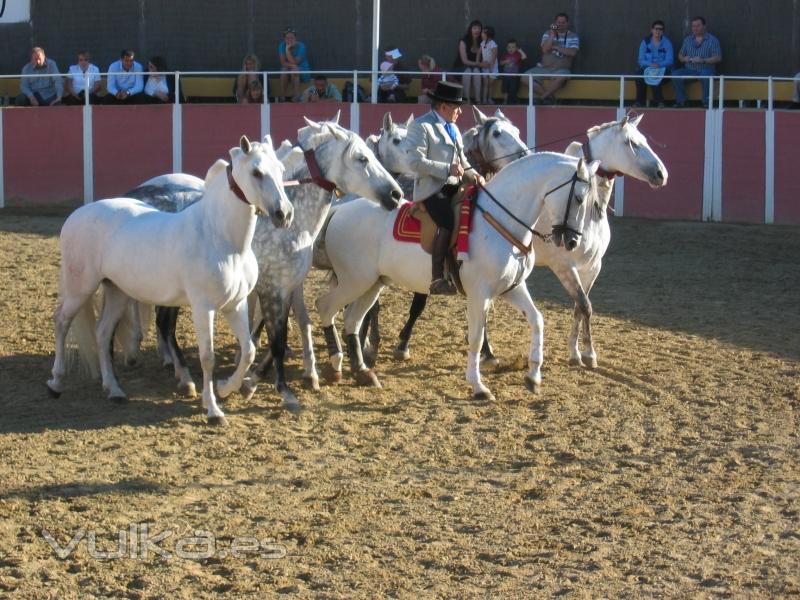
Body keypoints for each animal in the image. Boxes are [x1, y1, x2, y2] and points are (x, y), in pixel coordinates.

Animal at [47, 136, 292, 426]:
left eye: (281, 169)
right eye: (256, 172)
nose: (284, 214)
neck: (220, 238)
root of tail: (77, 215)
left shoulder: (236, 305)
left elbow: (249, 351)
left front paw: (226, 388)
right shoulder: (203, 308)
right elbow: (207, 358)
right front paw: (213, 410)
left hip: (117, 291)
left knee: (103, 332)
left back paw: (114, 390)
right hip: (80, 288)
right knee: (62, 321)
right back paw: (56, 383)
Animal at [312, 152, 600, 400]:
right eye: (579, 198)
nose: (572, 241)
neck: (499, 220)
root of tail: (341, 209)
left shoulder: (511, 289)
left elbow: (537, 320)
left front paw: (533, 377)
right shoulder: (479, 293)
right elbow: (476, 336)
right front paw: (478, 386)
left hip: (372, 284)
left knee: (352, 319)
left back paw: (362, 372)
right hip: (355, 281)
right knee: (325, 307)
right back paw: (335, 365)